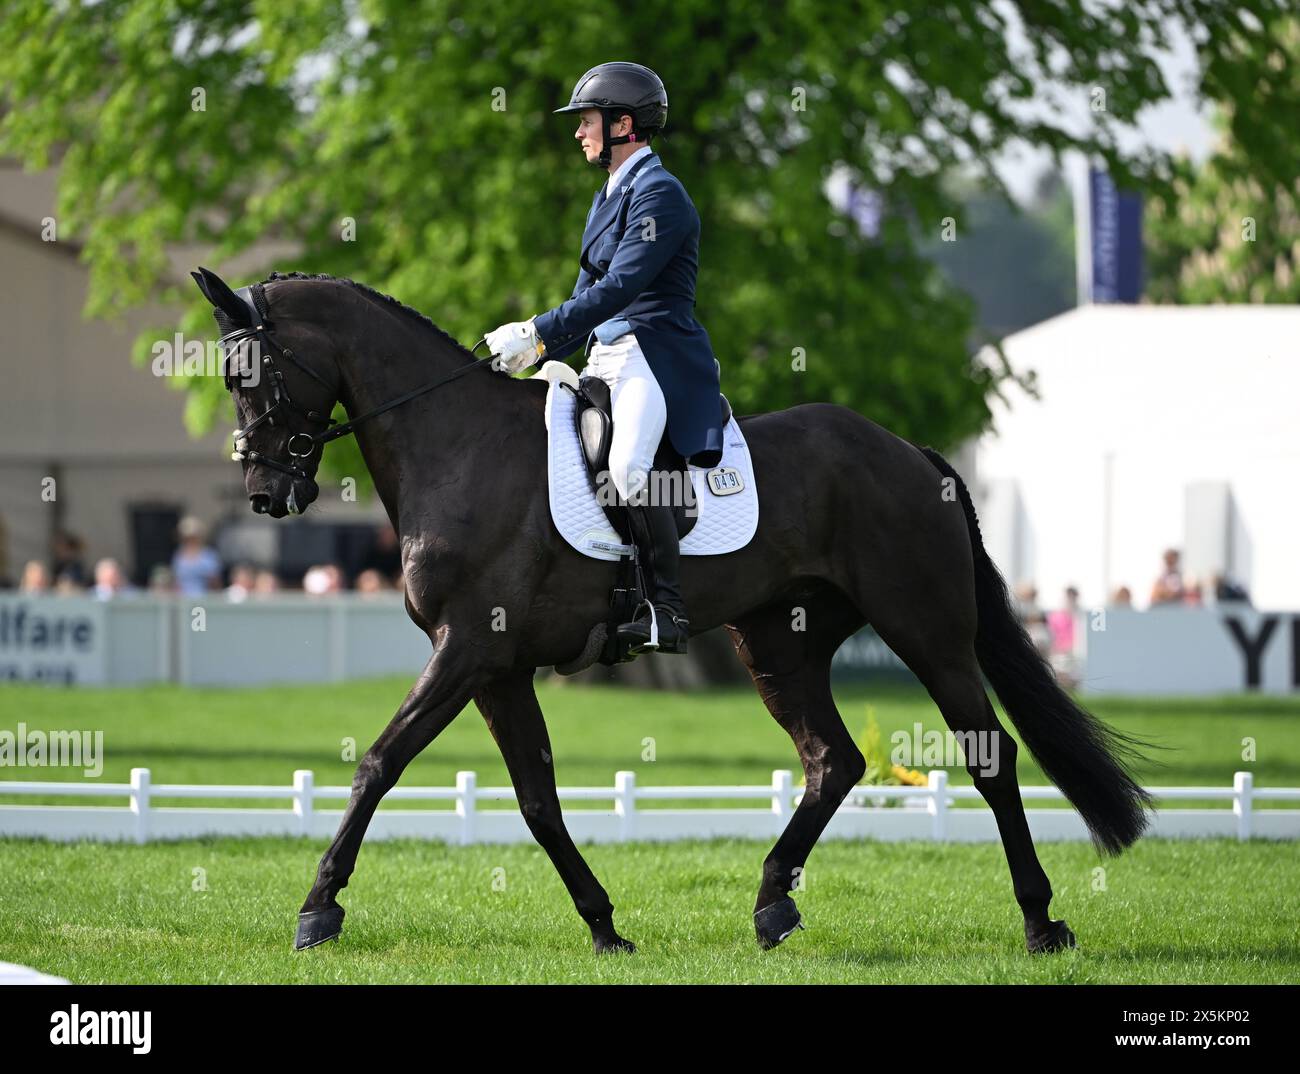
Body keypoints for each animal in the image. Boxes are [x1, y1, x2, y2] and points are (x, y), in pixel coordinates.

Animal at [192, 267, 1149, 951]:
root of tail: (912, 455)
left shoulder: (465, 651)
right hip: (780, 645)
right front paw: (605, 926)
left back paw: (1041, 923)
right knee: (832, 761)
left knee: (989, 757)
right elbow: (537, 800)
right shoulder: (497, 668)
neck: (458, 446)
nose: (268, 495)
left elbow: (379, 763)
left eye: (253, 374)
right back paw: (771, 907)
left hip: (928, 632)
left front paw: (318, 910)